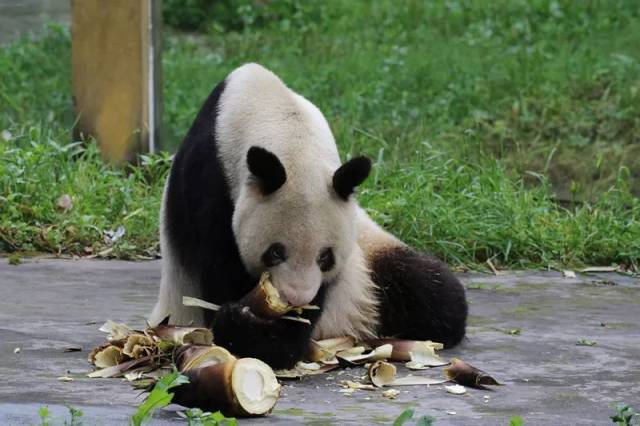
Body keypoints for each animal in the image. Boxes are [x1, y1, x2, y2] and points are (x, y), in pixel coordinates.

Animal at [152, 63, 468, 370]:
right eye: (275, 252)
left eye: (325, 257)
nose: (296, 299)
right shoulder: (209, 185)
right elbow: (220, 276)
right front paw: (244, 323)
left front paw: (264, 334)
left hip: (372, 256)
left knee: (433, 291)